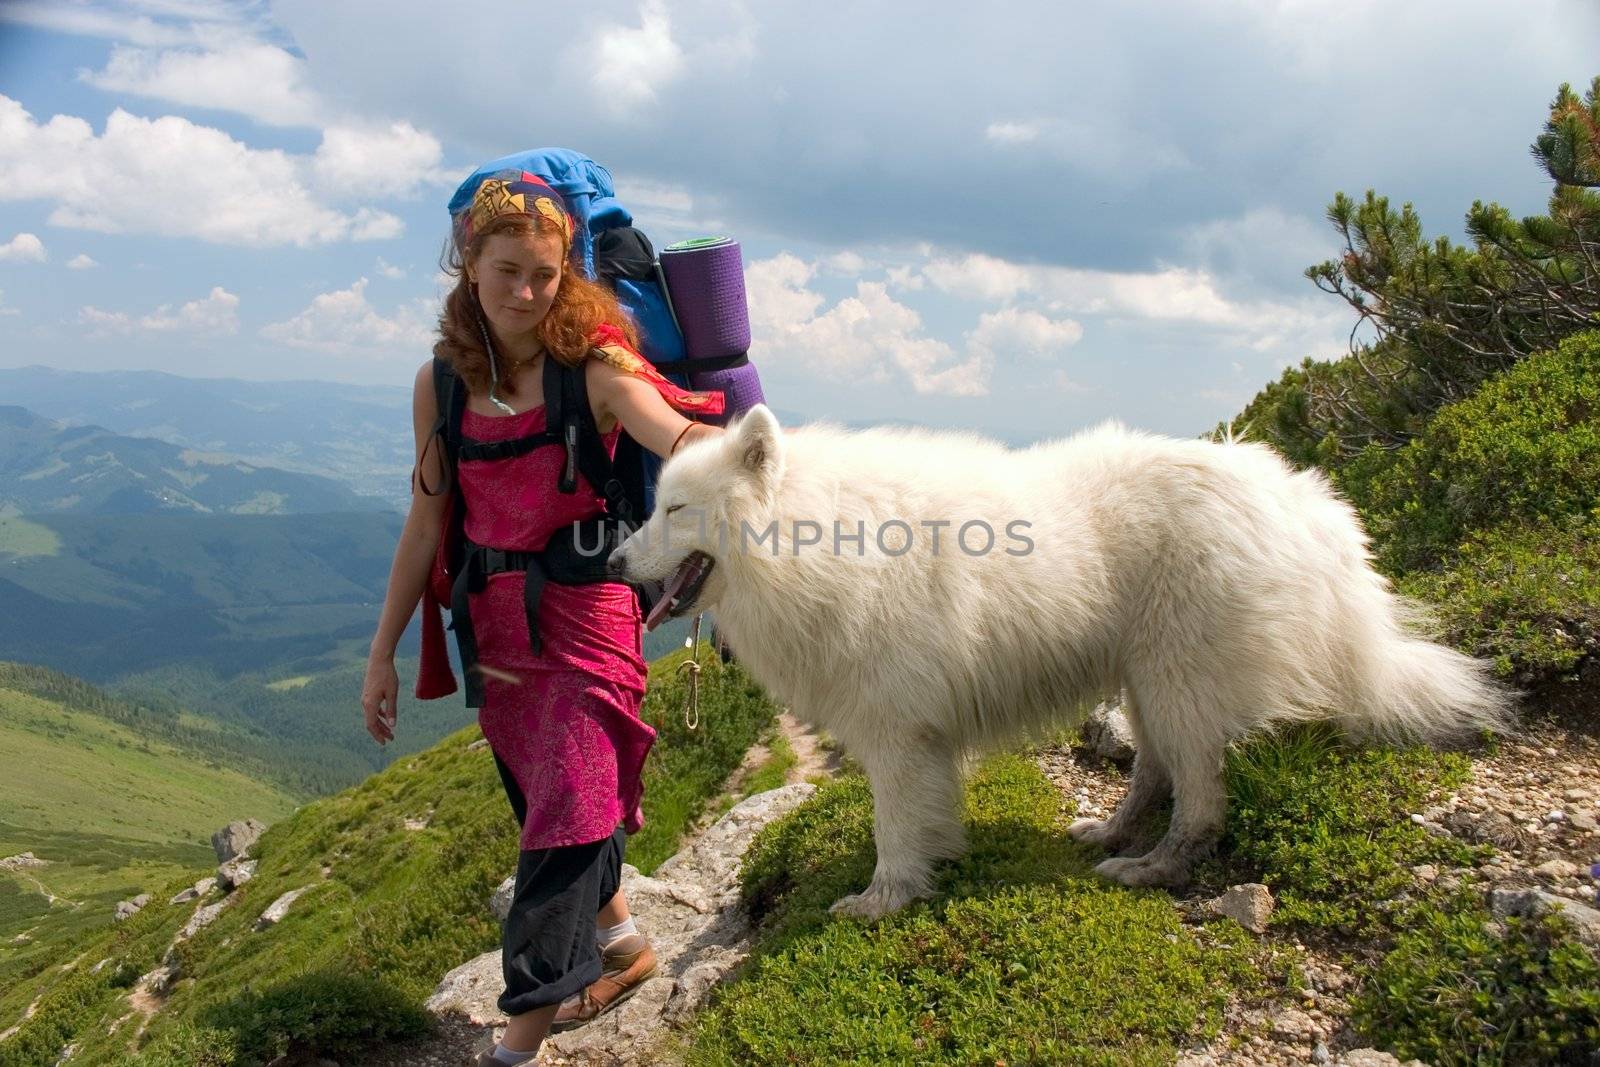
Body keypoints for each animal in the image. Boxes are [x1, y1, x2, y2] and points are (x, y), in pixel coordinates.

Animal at [604, 404, 1504, 921]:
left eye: (675, 510)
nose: (611, 560)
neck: (814, 536)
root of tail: (1304, 502)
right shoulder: (918, 739)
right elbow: (927, 818)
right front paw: (927, 871)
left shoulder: (897, 734)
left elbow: (895, 828)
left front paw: (880, 899)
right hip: (1146, 681)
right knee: (1153, 774)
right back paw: (1110, 830)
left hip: (1179, 681)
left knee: (1200, 799)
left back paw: (1151, 868)